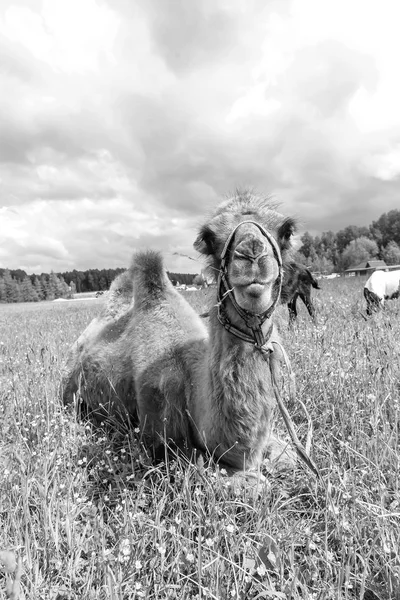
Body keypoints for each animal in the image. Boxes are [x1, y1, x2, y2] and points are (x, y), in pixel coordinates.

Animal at [62, 192, 304, 474]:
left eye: (286, 231)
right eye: (209, 236)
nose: (252, 254)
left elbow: (291, 454)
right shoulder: (158, 435)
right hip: (70, 391)